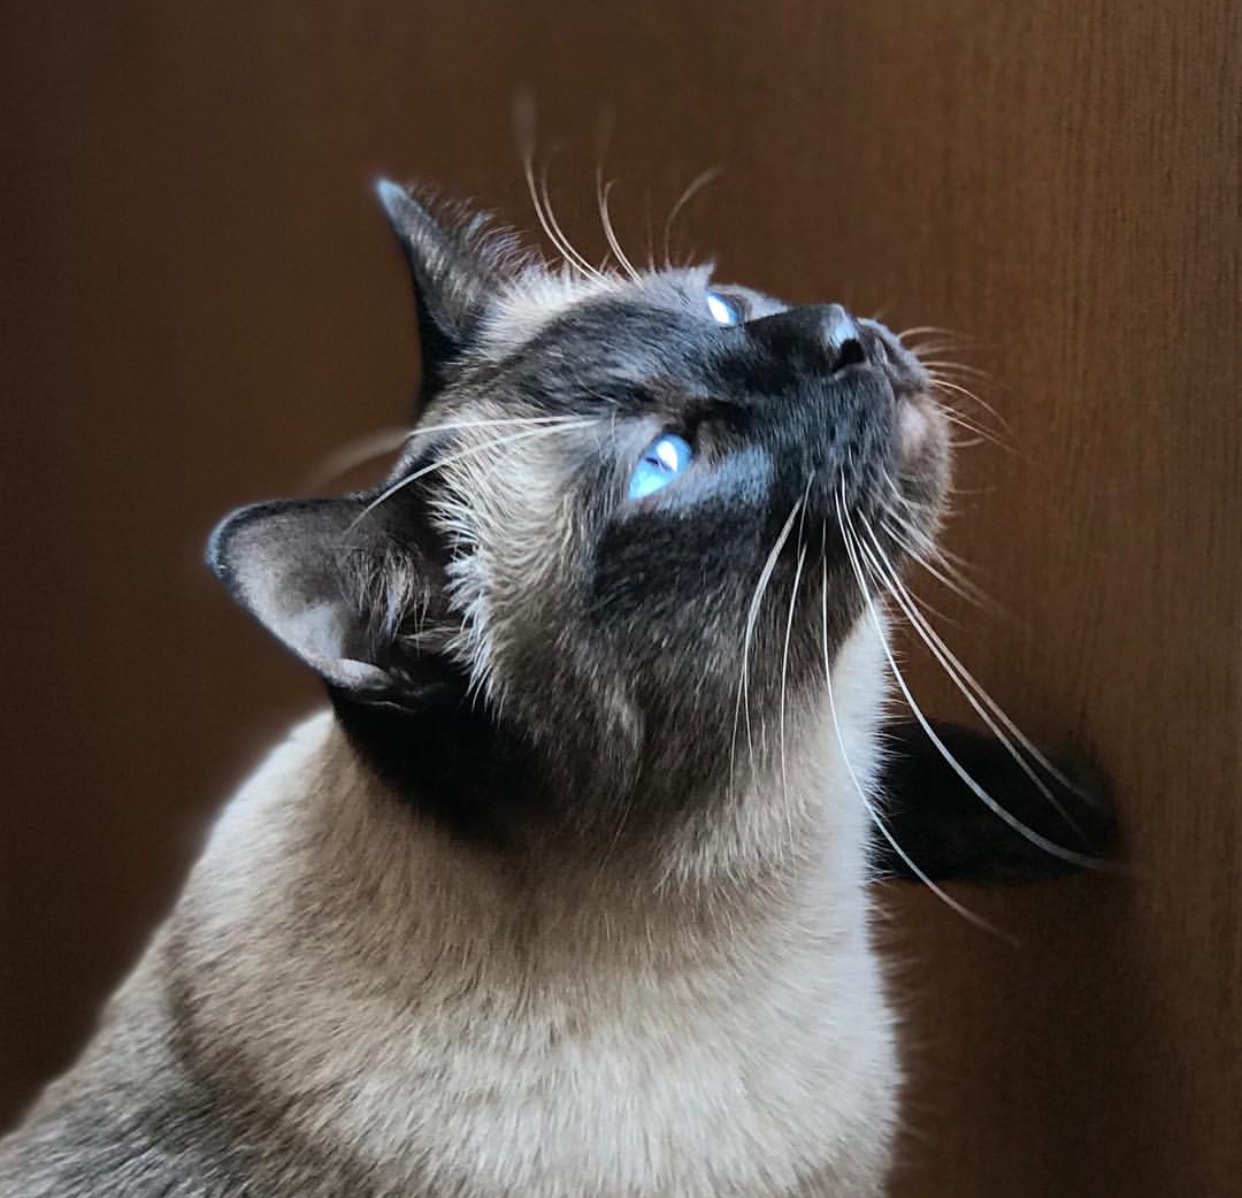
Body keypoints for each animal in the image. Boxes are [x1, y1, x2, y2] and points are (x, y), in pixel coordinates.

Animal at [0, 180, 1107, 1196]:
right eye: (665, 463)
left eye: (719, 311)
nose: (842, 337)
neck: (809, 879)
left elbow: (940, 780)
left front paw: (1081, 816)